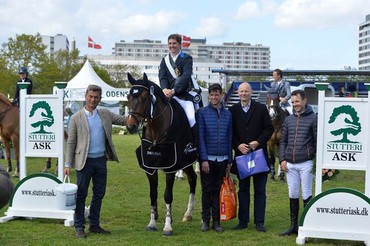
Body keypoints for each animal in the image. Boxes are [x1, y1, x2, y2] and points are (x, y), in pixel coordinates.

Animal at [125, 73, 198, 236]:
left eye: (144, 98)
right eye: (128, 96)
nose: (130, 126)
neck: (156, 131)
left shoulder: (171, 166)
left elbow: (167, 195)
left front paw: (168, 226)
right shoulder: (150, 167)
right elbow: (153, 193)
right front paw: (152, 222)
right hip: (186, 162)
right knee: (193, 178)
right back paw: (188, 214)